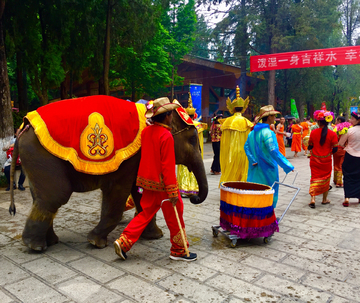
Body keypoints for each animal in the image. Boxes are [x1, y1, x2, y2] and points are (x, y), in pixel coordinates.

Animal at [9, 97, 208, 252]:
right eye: (192, 139)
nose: (194, 198)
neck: (149, 114)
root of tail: (24, 125)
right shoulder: (128, 161)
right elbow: (117, 194)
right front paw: (95, 242)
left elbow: (140, 193)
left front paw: (154, 236)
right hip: (42, 157)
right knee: (55, 196)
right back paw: (36, 246)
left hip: (36, 162)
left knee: (41, 198)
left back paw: (49, 242)